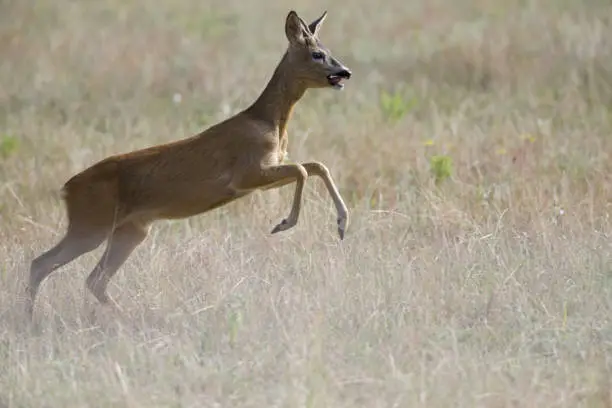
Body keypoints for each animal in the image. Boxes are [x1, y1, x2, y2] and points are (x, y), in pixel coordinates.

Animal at [26, 8, 352, 316]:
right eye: (317, 53)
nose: (345, 72)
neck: (268, 122)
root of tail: (67, 190)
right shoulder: (245, 174)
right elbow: (302, 169)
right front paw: (285, 224)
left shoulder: (262, 175)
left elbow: (315, 165)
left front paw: (342, 224)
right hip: (92, 225)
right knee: (42, 264)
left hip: (130, 230)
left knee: (93, 278)